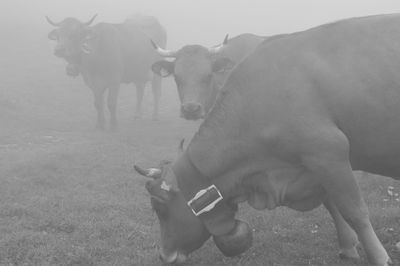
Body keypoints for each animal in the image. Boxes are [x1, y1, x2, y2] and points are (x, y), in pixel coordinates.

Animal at [134, 14, 400, 266]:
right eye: (176, 78)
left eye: (159, 208)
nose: (164, 255)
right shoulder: (312, 166)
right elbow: (332, 203)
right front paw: (347, 245)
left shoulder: (328, 152)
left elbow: (355, 211)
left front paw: (379, 257)